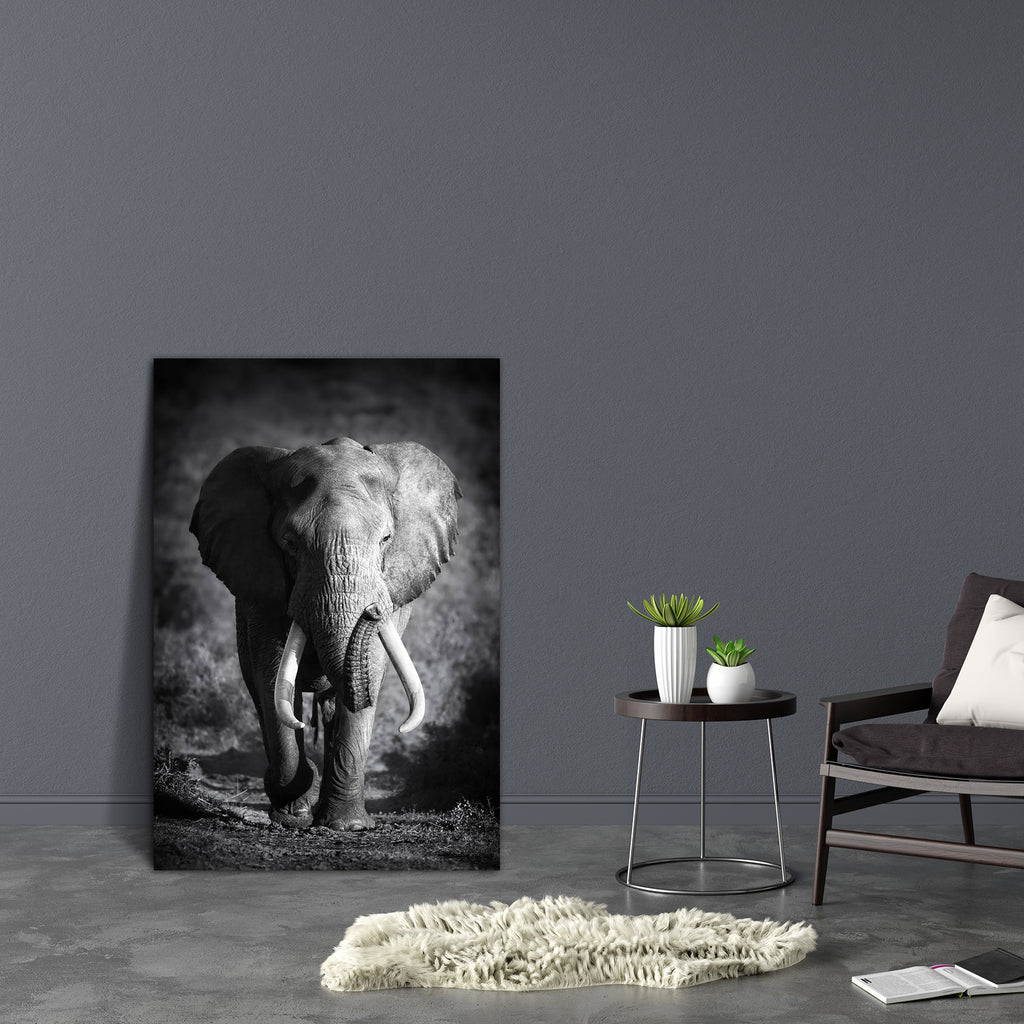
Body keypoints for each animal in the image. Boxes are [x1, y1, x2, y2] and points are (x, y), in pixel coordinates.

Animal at [189, 436, 460, 832]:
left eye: (386, 539)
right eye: (290, 543)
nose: (372, 611)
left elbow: (371, 668)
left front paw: (347, 826)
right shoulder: (261, 588)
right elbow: (272, 675)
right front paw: (292, 813)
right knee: (263, 692)